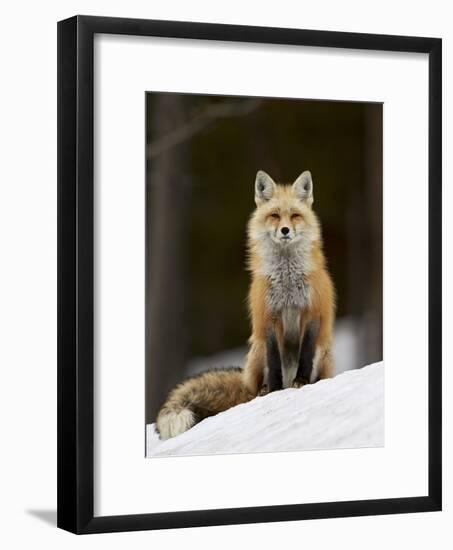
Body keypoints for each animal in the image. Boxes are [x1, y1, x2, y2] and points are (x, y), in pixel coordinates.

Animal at [155, 170, 336, 442]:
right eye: (274, 216)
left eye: (295, 215)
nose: (285, 230)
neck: (287, 279)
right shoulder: (268, 318)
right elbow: (274, 362)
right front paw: (274, 390)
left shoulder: (312, 312)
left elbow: (305, 353)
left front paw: (302, 382)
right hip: (256, 350)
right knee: (258, 381)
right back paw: (263, 390)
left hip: (323, 353)